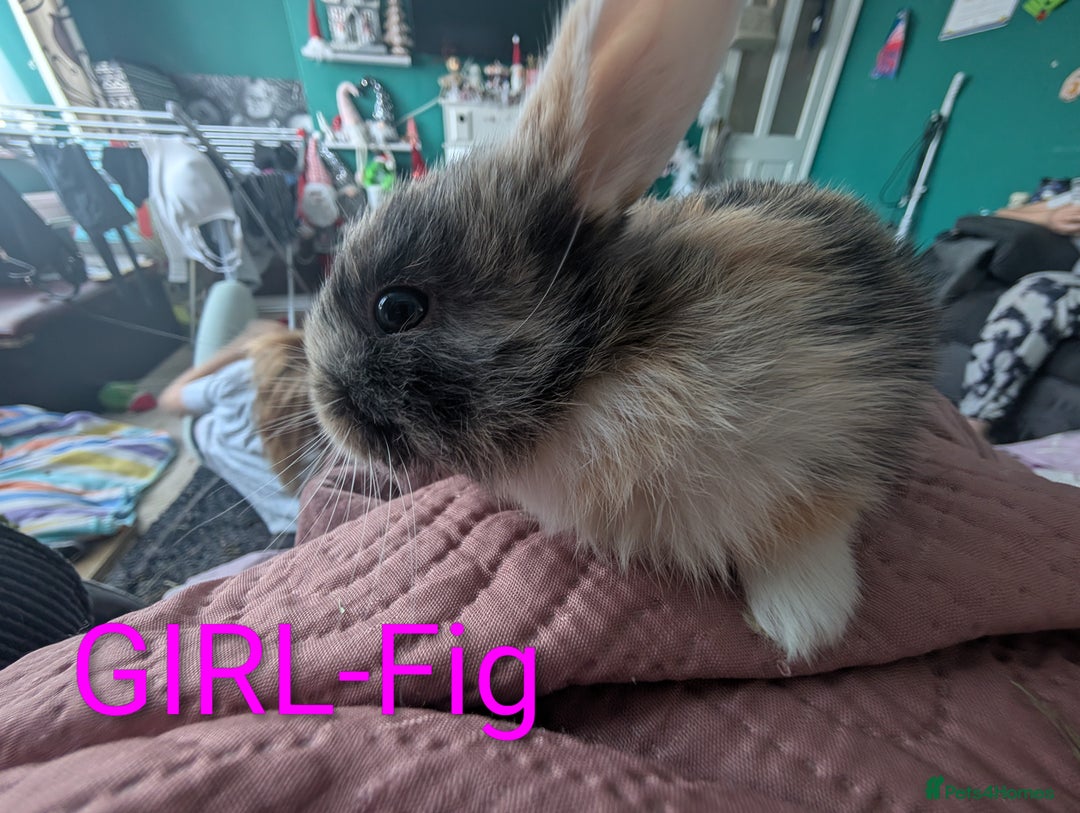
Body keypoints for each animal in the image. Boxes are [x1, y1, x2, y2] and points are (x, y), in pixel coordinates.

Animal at [305, 0, 938, 662]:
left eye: (397, 308)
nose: (324, 410)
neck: (598, 360)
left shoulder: (830, 423)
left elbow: (814, 528)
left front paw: (802, 620)